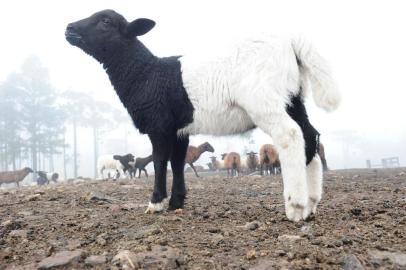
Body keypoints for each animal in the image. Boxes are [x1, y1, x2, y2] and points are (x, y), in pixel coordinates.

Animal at [66, 10, 340, 221]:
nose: (69, 28)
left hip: (263, 98)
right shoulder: (179, 129)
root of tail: (292, 41)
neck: (145, 74)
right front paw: (176, 202)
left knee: (289, 135)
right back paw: (311, 204)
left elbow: (159, 161)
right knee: (310, 136)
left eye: (105, 21)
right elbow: (177, 162)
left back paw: (295, 207)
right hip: (293, 97)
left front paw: (155, 203)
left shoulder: (159, 124)